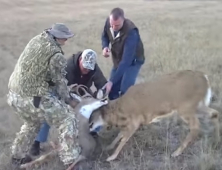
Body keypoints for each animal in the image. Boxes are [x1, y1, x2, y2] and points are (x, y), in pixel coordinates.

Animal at [88, 69, 220, 162]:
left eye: (93, 113)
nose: (89, 126)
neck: (119, 110)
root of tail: (205, 78)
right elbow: (120, 134)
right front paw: (109, 147)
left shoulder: (134, 122)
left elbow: (123, 138)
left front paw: (111, 157)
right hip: (198, 105)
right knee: (214, 113)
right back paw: (216, 139)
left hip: (186, 108)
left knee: (196, 126)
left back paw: (176, 152)